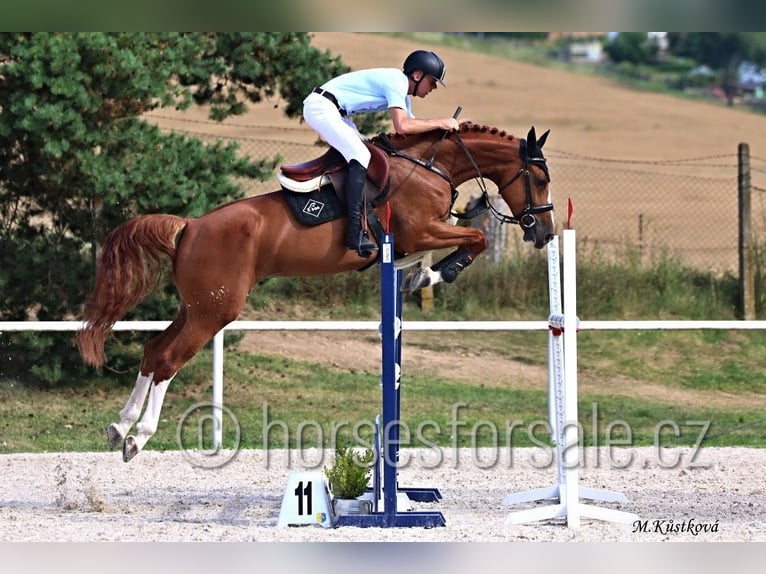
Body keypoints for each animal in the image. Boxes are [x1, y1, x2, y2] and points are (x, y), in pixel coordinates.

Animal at [77, 123, 555, 462]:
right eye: (539, 178)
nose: (545, 234)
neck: (430, 167)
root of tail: (190, 226)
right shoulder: (421, 229)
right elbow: (477, 237)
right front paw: (440, 273)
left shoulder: (415, 237)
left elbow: (443, 245)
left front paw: (419, 275)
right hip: (215, 312)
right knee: (168, 360)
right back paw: (138, 437)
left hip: (195, 306)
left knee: (153, 351)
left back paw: (120, 426)